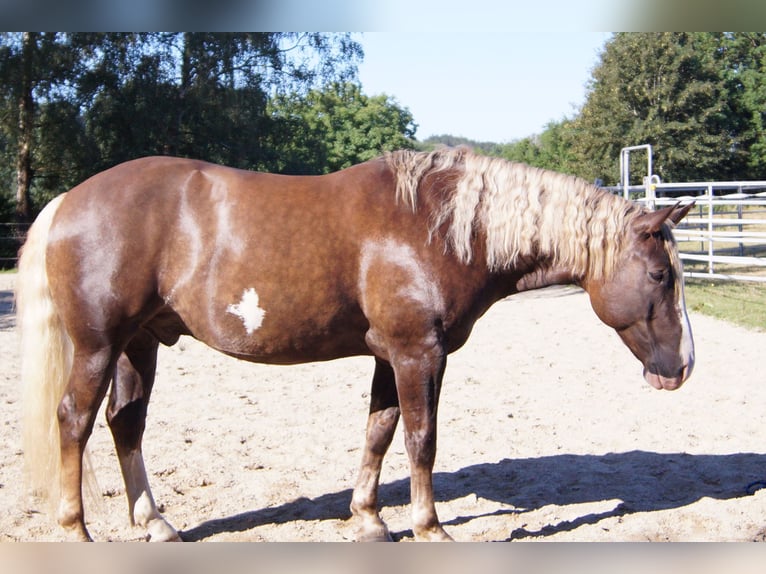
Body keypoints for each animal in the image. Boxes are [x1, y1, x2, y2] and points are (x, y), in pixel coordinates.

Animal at [15, 147, 695, 542]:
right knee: (74, 421)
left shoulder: (389, 355)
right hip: (99, 345)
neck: (437, 227)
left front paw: (368, 519)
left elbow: (380, 429)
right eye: (661, 276)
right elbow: (422, 439)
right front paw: (428, 528)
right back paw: (75, 531)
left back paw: (155, 523)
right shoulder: (420, 352)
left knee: (124, 423)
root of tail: (69, 199)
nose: (683, 367)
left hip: (140, 344)